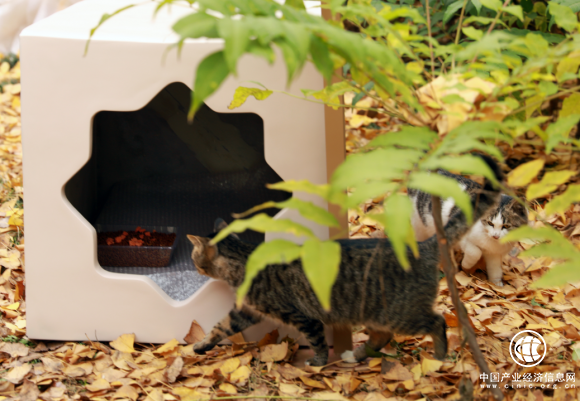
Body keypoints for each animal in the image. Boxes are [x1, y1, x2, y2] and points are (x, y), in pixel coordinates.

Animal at [186, 156, 503, 366]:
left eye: (194, 257)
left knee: (436, 323)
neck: (245, 260)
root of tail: (423, 246)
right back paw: (356, 355)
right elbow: (220, 327)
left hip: (402, 313)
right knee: (380, 338)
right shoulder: (246, 311)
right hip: (378, 314)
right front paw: (201, 345)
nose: (194, 268)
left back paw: (438, 357)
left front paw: (318, 362)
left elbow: (316, 341)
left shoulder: (301, 316)